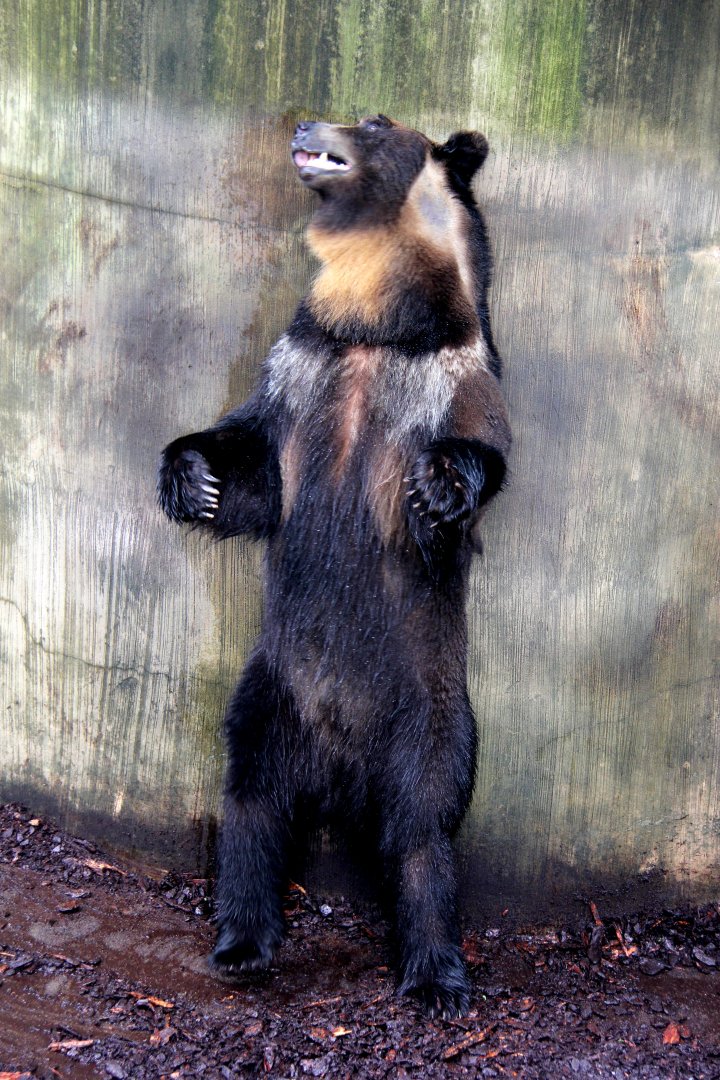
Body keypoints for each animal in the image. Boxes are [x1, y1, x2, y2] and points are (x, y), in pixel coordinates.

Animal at [157, 115, 511, 1019]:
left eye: (376, 122)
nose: (306, 125)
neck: (374, 324)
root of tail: (345, 773)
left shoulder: (451, 376)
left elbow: (478, 456)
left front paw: (441, 486)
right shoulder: (302, 369)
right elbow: (253, 469)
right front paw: (192, 477)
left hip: (428, 702)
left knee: (424, 825)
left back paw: (435, 972)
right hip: (272, 685)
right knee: (250, 797)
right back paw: (243, 939)